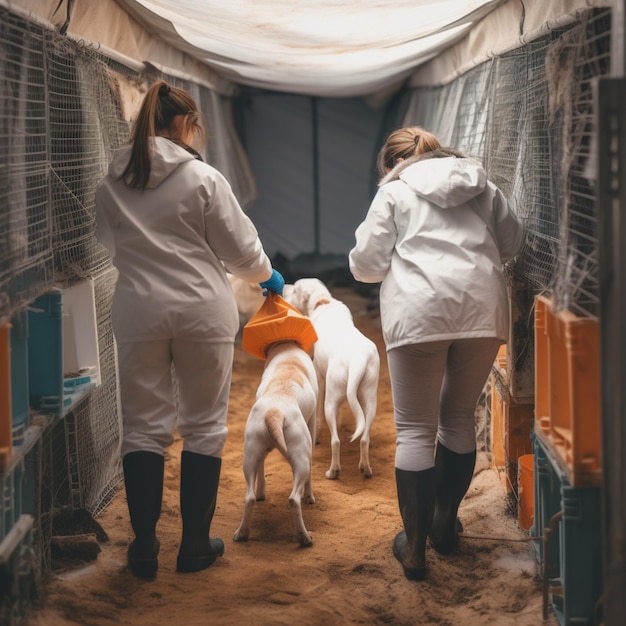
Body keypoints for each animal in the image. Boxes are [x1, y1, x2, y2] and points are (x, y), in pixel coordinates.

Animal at [232, 338, 316, 544]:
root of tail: (274, 412)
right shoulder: (312, 421)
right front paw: (310, 497)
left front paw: (262, 493)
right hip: (301, 458)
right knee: (294, 498)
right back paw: (304, 538)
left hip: (249, 456)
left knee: (249, 497)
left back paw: (241, 533)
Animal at [286, 276, 378, 478]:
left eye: (295, 290)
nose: (283, 287)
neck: (323, 301)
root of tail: (357, 358)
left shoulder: (319, 376)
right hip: (369, 400)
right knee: (364, 438)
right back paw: (365, 468)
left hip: (331, 399)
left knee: (335, 441)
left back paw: (333, 471)